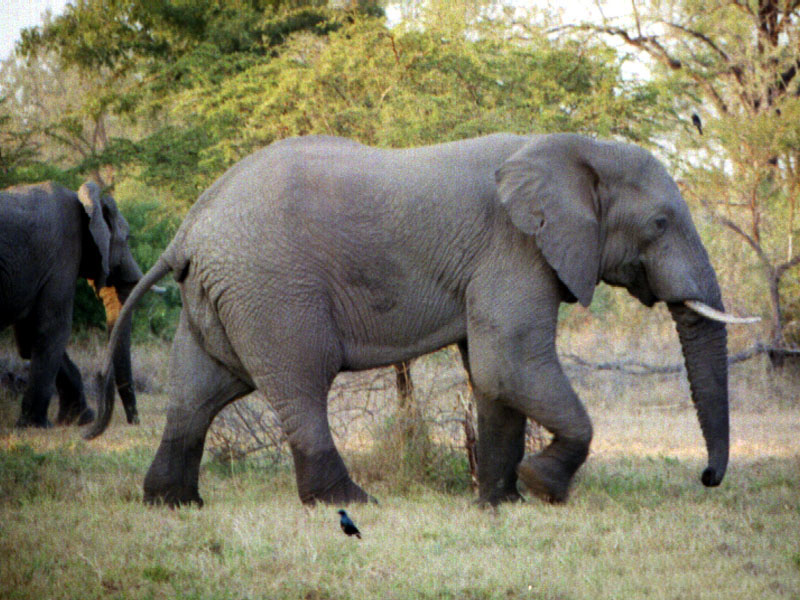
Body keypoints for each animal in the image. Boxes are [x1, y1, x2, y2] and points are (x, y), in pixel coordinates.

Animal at [0, 181, 143, 427]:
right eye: (127, 239)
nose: (134, 422)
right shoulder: (63, 256)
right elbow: (52, 329)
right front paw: (37, 425)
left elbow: (28, 338)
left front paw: (79, 418)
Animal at [87, 133, 751, 507]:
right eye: (660, 223)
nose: (707, 478)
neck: (575, 147)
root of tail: (188, 229)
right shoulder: (513, 248)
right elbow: (509, 359)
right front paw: (542, 487)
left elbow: (493, 375)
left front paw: (501, 504)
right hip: (271, 291)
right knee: (300, 384)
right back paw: (351, 503)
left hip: (220, 296)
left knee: (198, 392)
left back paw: (173, 504)